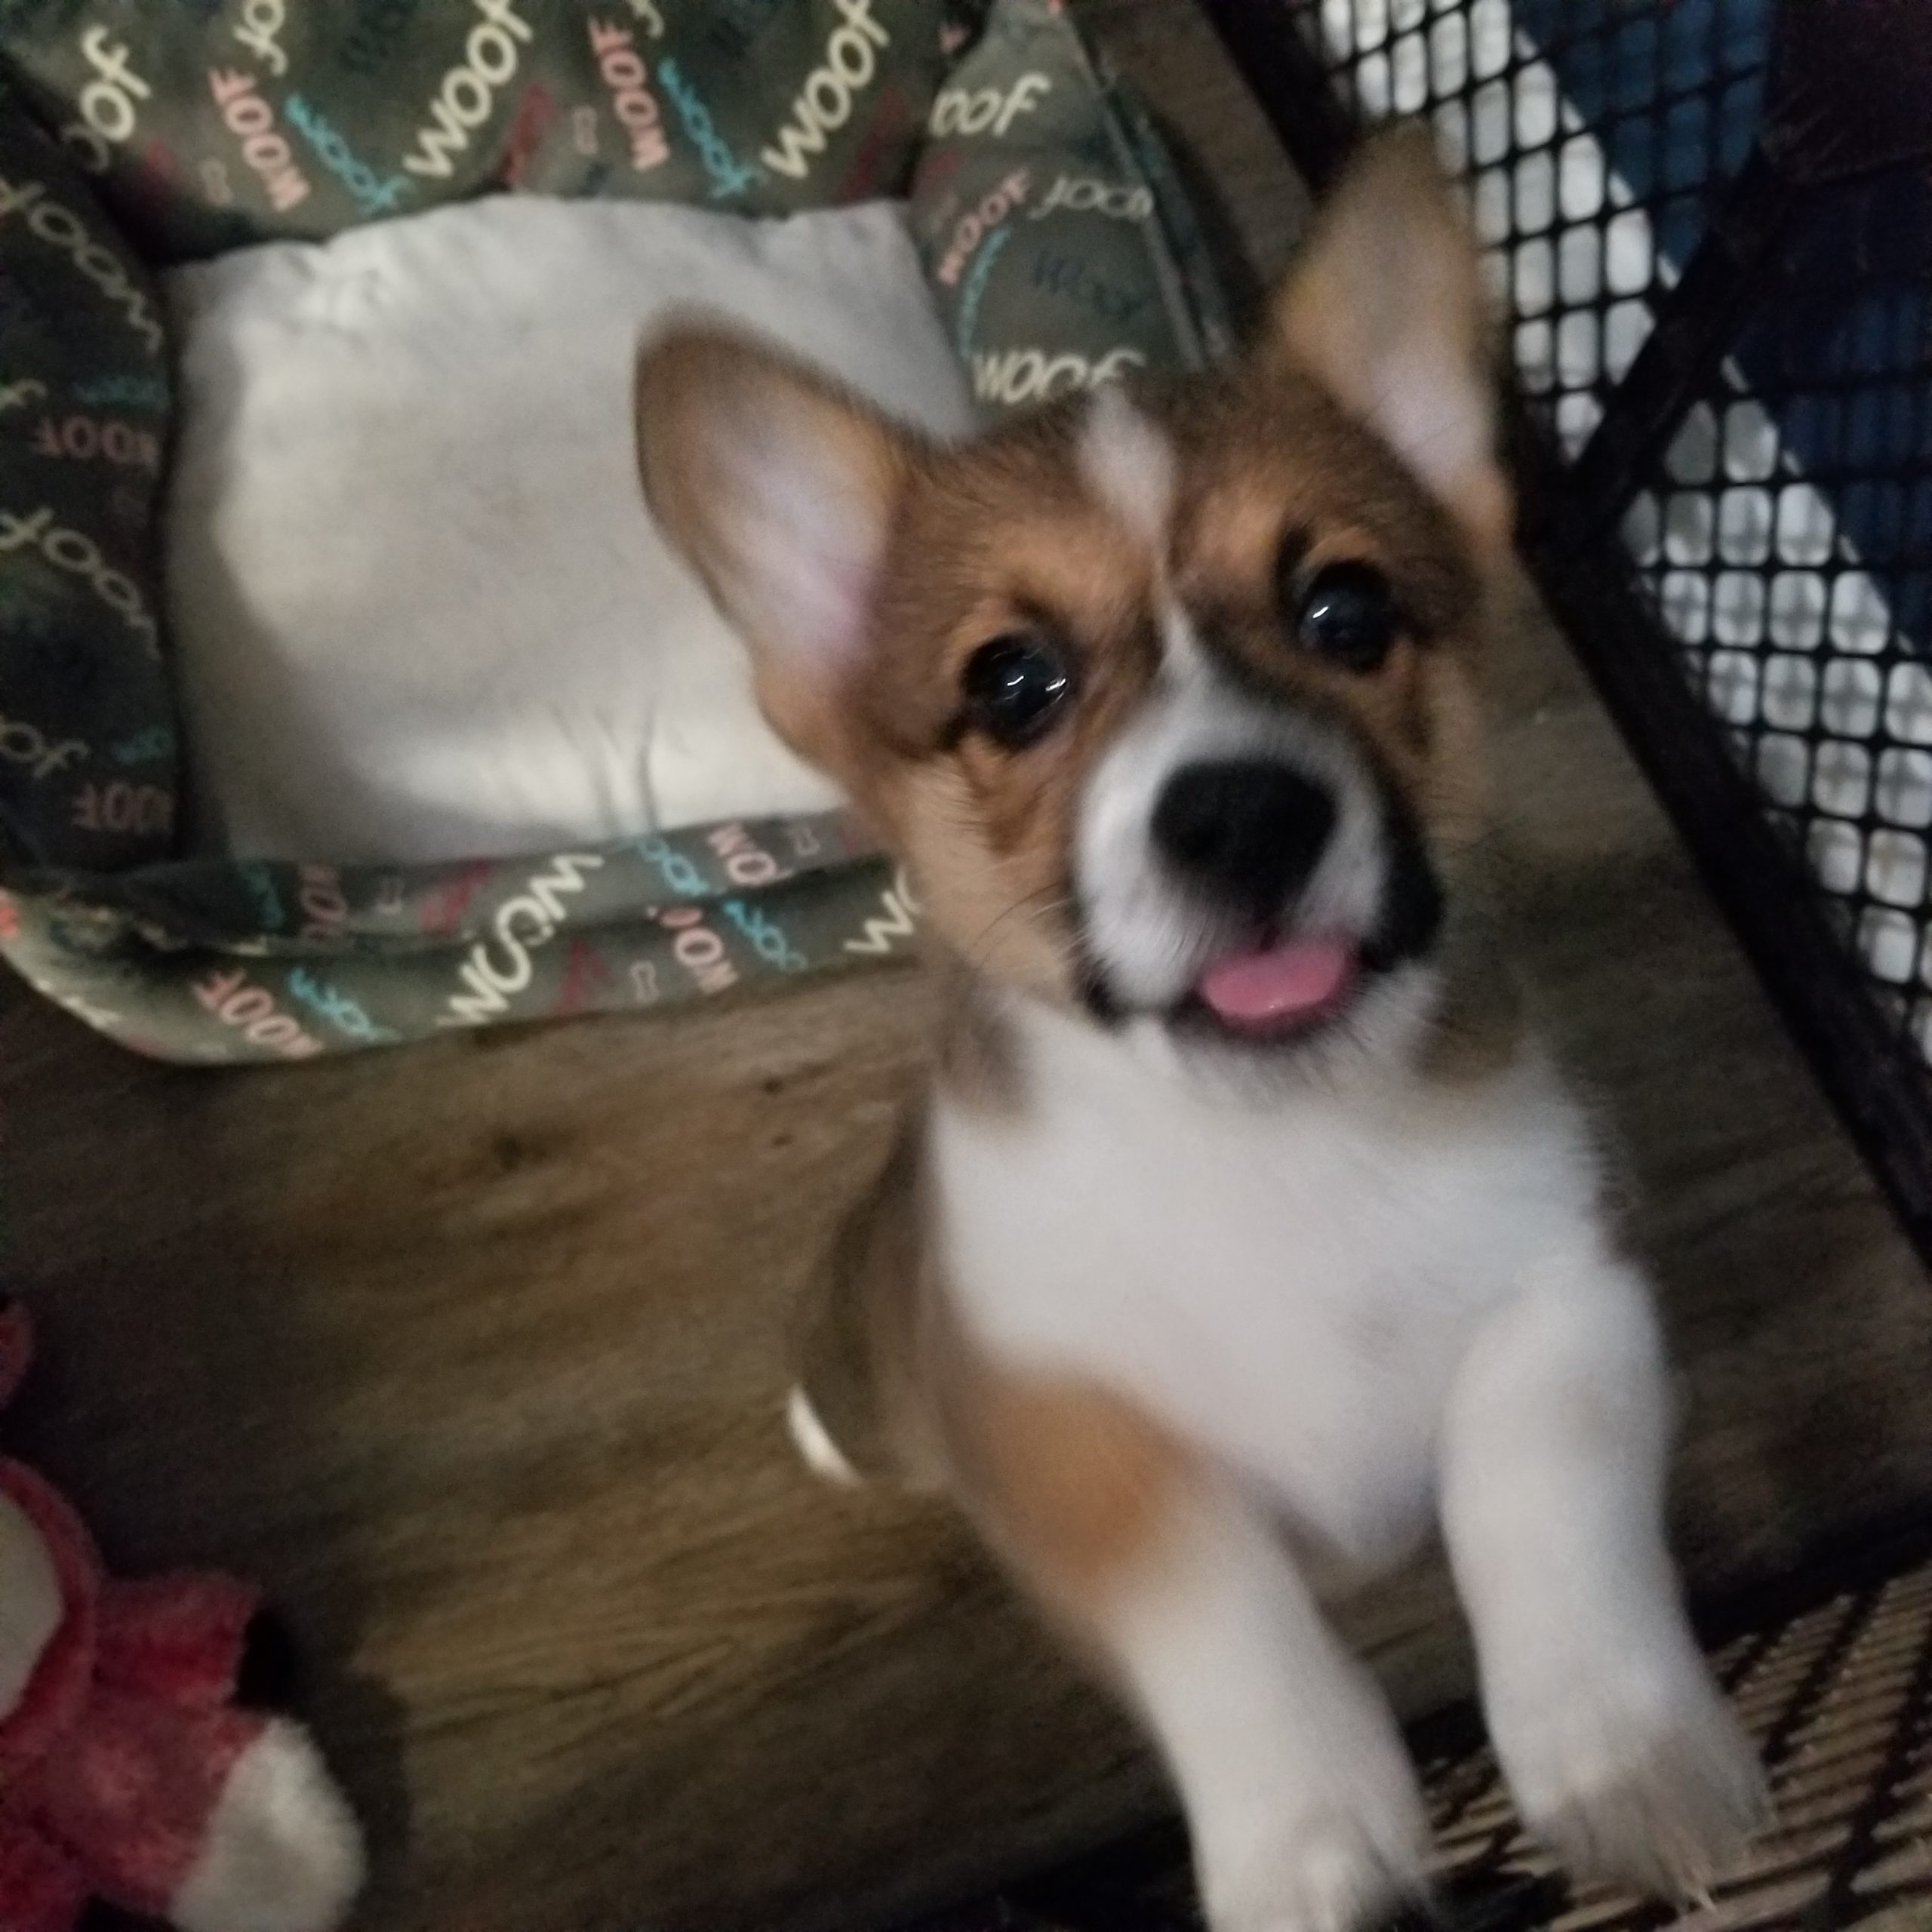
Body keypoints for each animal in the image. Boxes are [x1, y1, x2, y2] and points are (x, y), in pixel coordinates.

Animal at [637, 132, 1769, 1932]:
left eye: (1344, 611)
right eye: (1013, 683)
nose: (1243, 815)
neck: (1274, 1141)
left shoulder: (1566, 1285)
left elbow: (1535, 1485)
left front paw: (1621, 1752)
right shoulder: (1056, 1422)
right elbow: (1217, 1603)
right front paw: (1310, 1836)